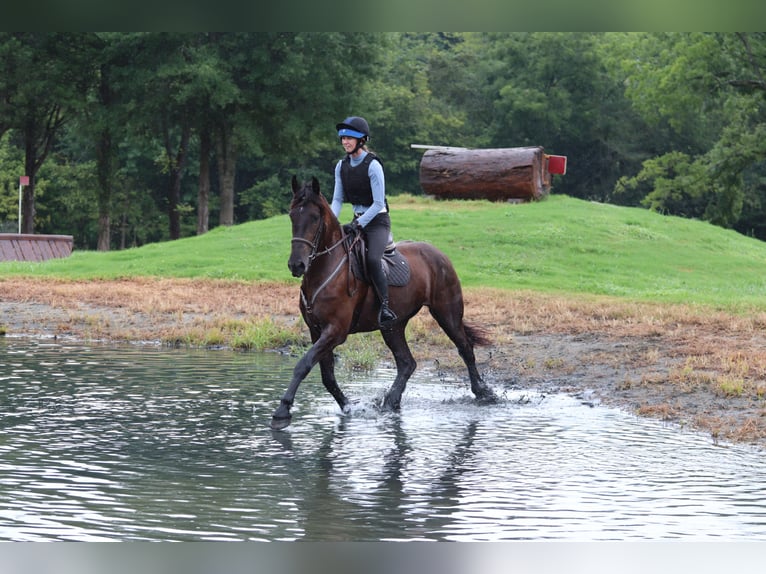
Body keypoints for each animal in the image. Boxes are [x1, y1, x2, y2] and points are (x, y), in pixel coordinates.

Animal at [270, 178, 498, 430]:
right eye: (292, 215)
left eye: (314, 217)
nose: (297, 265)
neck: (325, 270)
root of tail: (438, 253)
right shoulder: (316, 330)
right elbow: (326, 375)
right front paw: (349, 406)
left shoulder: (335, 331)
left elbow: (304, 364)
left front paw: (282, 410)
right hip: (392, 326)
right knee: (407, 363)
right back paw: (390, 401)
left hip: (446, 312)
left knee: (464, 348)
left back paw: (483, 392)